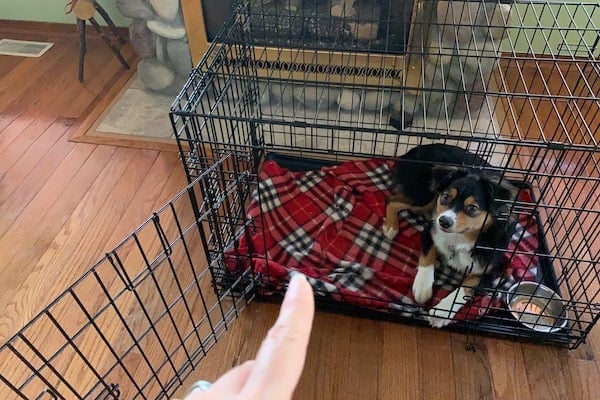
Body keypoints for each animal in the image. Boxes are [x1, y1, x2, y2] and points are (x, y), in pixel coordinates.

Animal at [384, 145, 520, 326]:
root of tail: (415, 149)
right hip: (426, 196)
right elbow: (427, 256)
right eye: (446, 197)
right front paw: (422, 286)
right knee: (392, 201)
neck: (463, 237)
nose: (444, 221)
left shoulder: (493, 269)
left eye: (472, 208)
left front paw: (441, 312)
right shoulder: (430, 229)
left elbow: (465, 287)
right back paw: (391, 227)